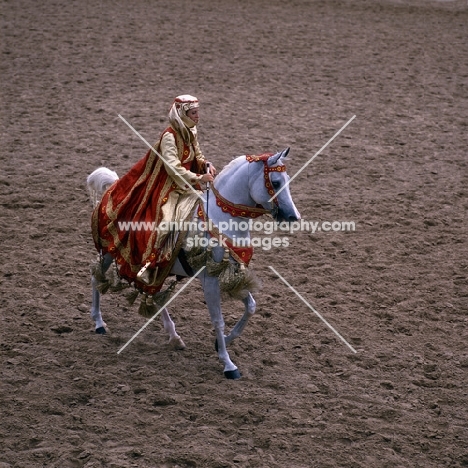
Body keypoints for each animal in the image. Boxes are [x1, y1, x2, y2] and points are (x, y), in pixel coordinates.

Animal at [87, 148, 300, 378]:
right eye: (276, 182)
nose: (293, 216)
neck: (220, 220)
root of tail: (113, 188)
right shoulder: (210, 280)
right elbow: (218, 321)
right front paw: (228, 364)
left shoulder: (232, 274)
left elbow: (251, 307)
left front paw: (223, 342)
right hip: (110, 254)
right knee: (96, 278)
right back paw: (99, 323)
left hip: (157, 269)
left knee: (155, 296)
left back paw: (174, 337)